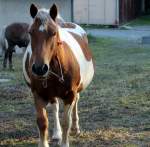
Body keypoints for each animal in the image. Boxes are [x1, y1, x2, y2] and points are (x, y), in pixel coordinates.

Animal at [23, 3, 94, 147]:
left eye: (54, 32)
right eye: (30, 32)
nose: (39, 68)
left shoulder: (70, 94)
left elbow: (66, 121)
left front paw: (65, 142)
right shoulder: (38, 94)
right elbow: (42, 122)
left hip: (75, 91)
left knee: (76, 102)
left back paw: (75, 128)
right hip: (51, 94)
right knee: (55, 108)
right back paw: (57, 134)